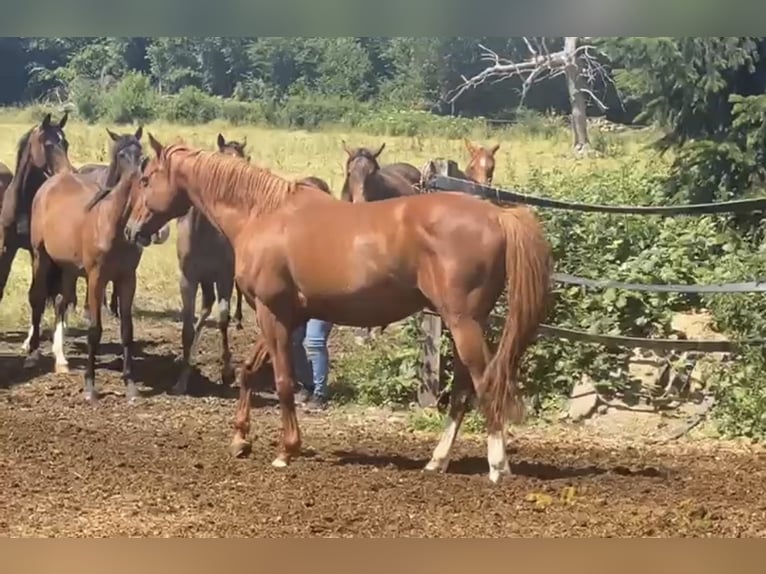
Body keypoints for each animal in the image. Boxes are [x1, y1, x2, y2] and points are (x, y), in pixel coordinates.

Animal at [24, 126, 149, 403]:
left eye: (141, 152)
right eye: (121, 154)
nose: (138, 177)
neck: (111, 224)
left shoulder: (128, 279)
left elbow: (127, 330)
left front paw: (131, 386)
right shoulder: (96, 278)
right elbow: (94, 329)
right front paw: (90, 387)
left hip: (68, 269)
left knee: (61, 302)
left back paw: (61, 359)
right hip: (41, 257)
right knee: (38, 298)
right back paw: (33, 353)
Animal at [120, 134, 553, 484]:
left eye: (146, 180)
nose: (132, 231)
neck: (263, 212)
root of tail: (497, 214)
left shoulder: (272, 313)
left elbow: (282, 382)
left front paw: (286, 450)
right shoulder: (280, 315)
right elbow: (248, 371)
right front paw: (240, 439)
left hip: (463, 323)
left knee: (484, 383)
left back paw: (497, 465)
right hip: (465, 323)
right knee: (464, 390)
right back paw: (438, 460)